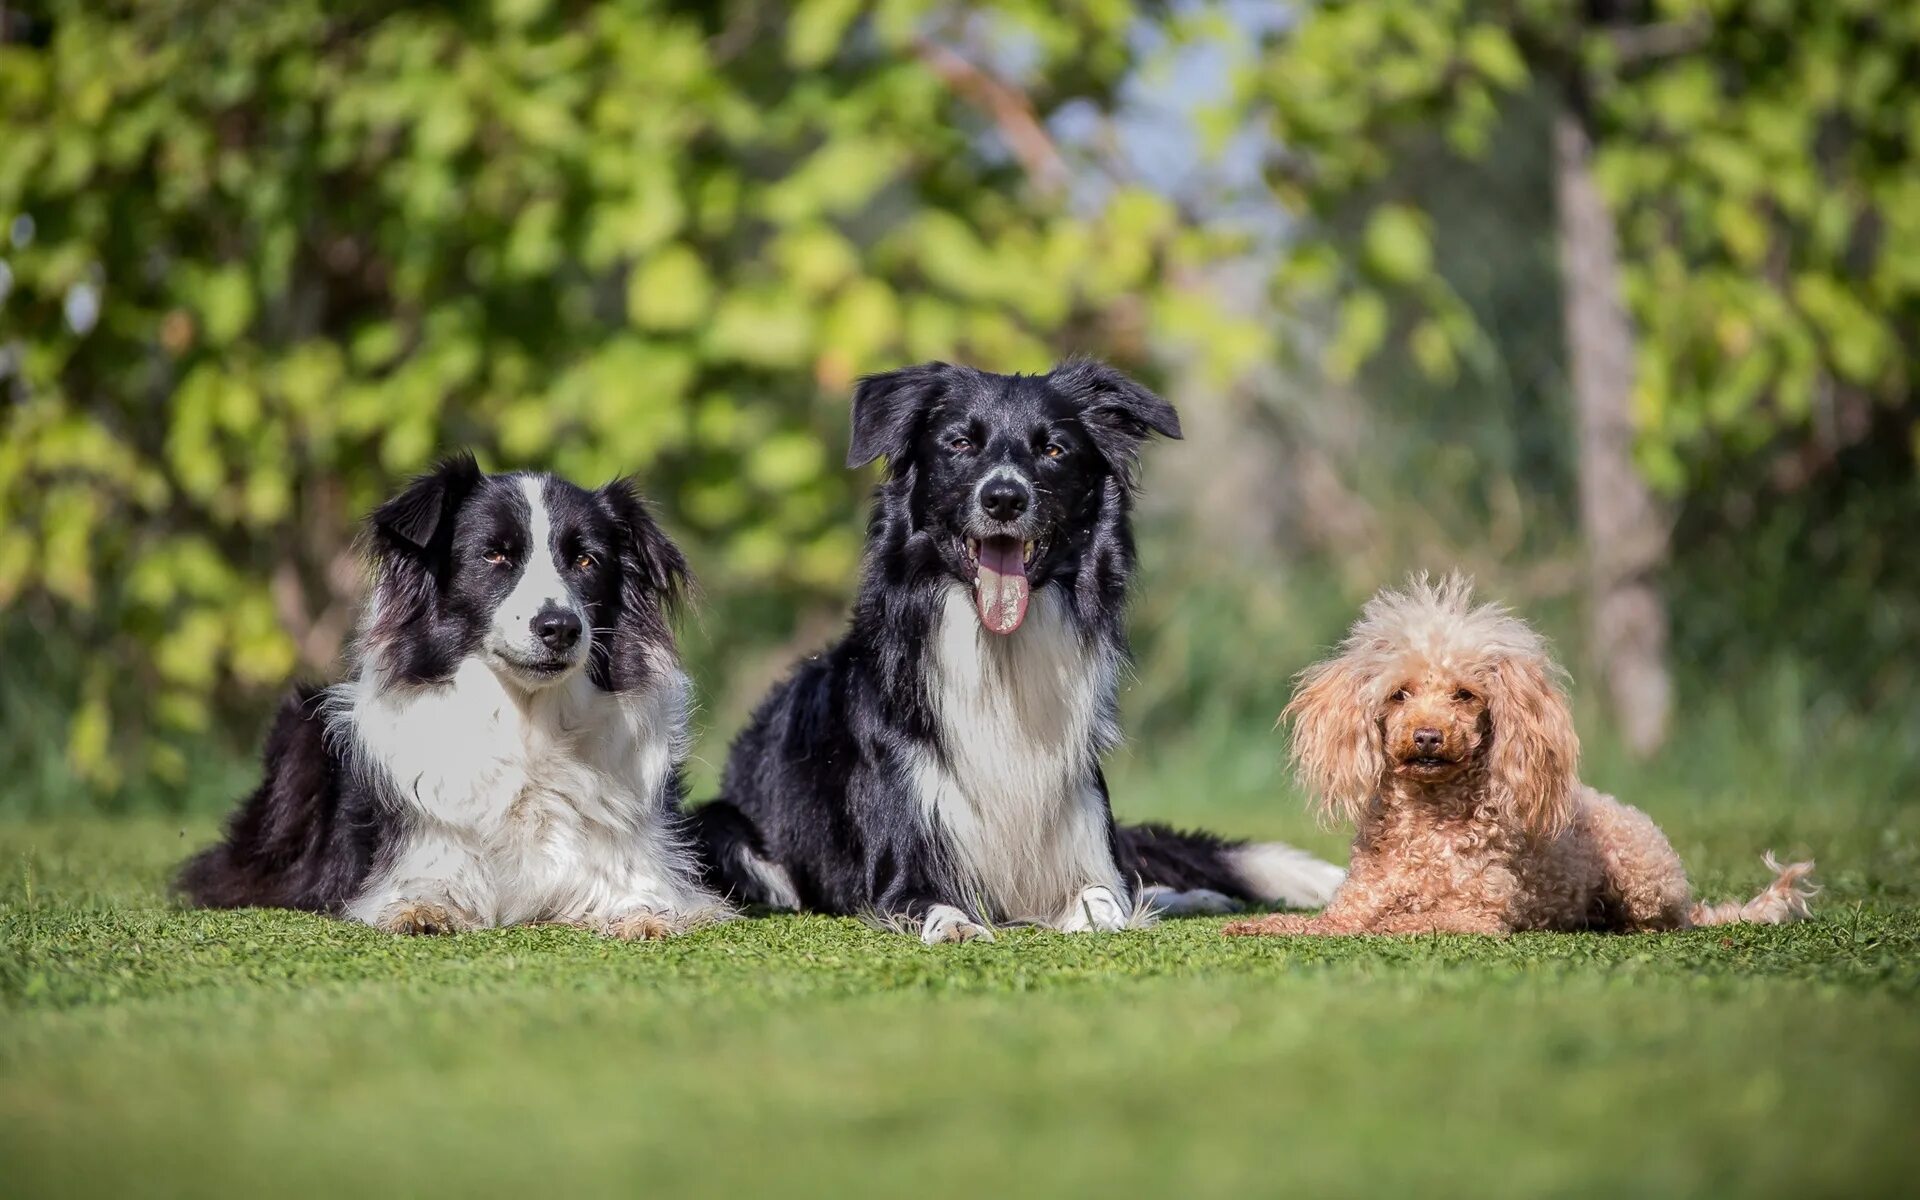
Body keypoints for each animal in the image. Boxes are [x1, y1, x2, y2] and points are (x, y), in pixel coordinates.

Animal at [180, 451, 721, 936]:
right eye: (494, 554)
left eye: (587, 560)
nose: (560, 628)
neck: (527, 721)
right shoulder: (420, 846)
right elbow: (430, 884)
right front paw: (422, 911)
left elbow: (643, 893)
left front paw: (645, 916)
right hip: (302, 734)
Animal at [691, 360, 1336, 940]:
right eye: (959, 444)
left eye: (1053, 450)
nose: (1004, 498)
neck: (997, 656)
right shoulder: (899, 868)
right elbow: (931, 902)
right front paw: (955, 924)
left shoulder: (1083, 837)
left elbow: (1107, 897)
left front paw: (1110, 914)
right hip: (724, 828)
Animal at [1228, 579, 1812, 936]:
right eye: (1399, 694)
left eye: (1465, 695)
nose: (1427, 736)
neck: (1428, 824)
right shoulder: (1358, 899)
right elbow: (1326, 924)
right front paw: (1261, 925)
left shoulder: (1474, 914)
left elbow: (1402, 923)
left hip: (1644, 880)